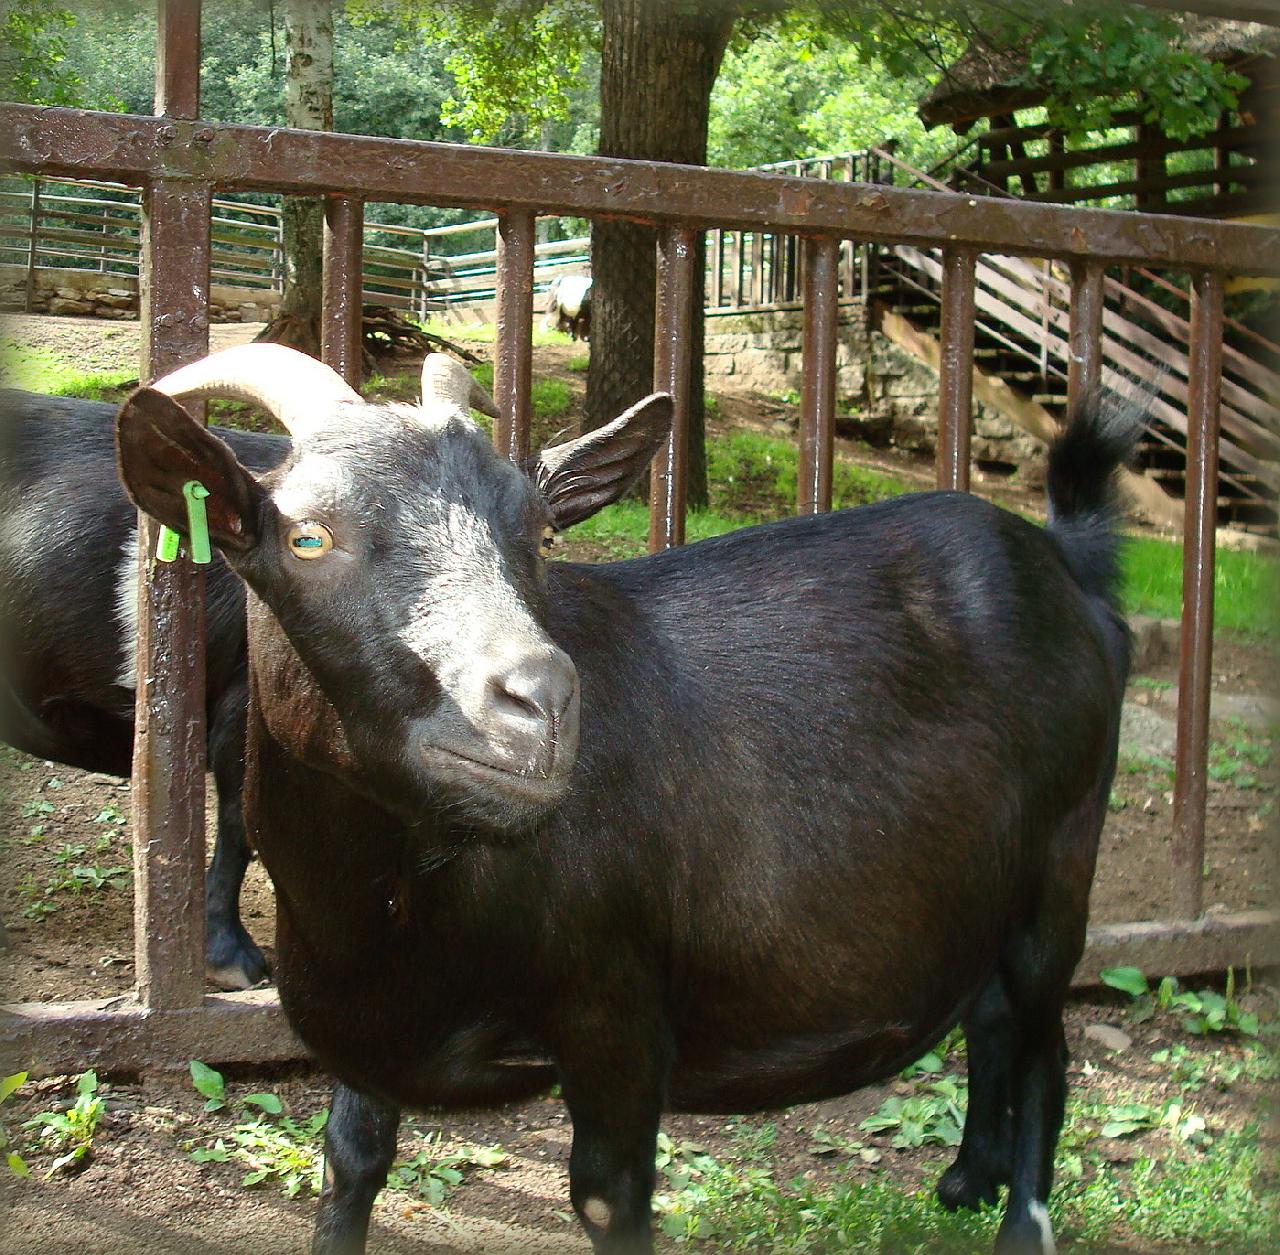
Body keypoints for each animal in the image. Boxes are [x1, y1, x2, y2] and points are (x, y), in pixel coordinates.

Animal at [116, 344, 1133, 1255]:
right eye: (308, 537)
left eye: (540, 534)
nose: (539, 699)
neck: (395, 912)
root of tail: (1066, 565)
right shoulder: (369, 1039)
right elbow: (350, 1163)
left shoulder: (619, 1021)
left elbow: (609, 1196)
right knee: (991, 1012)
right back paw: (967, 1178)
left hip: (1064, 860)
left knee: (1045, 1048)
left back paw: (1019, 1224)